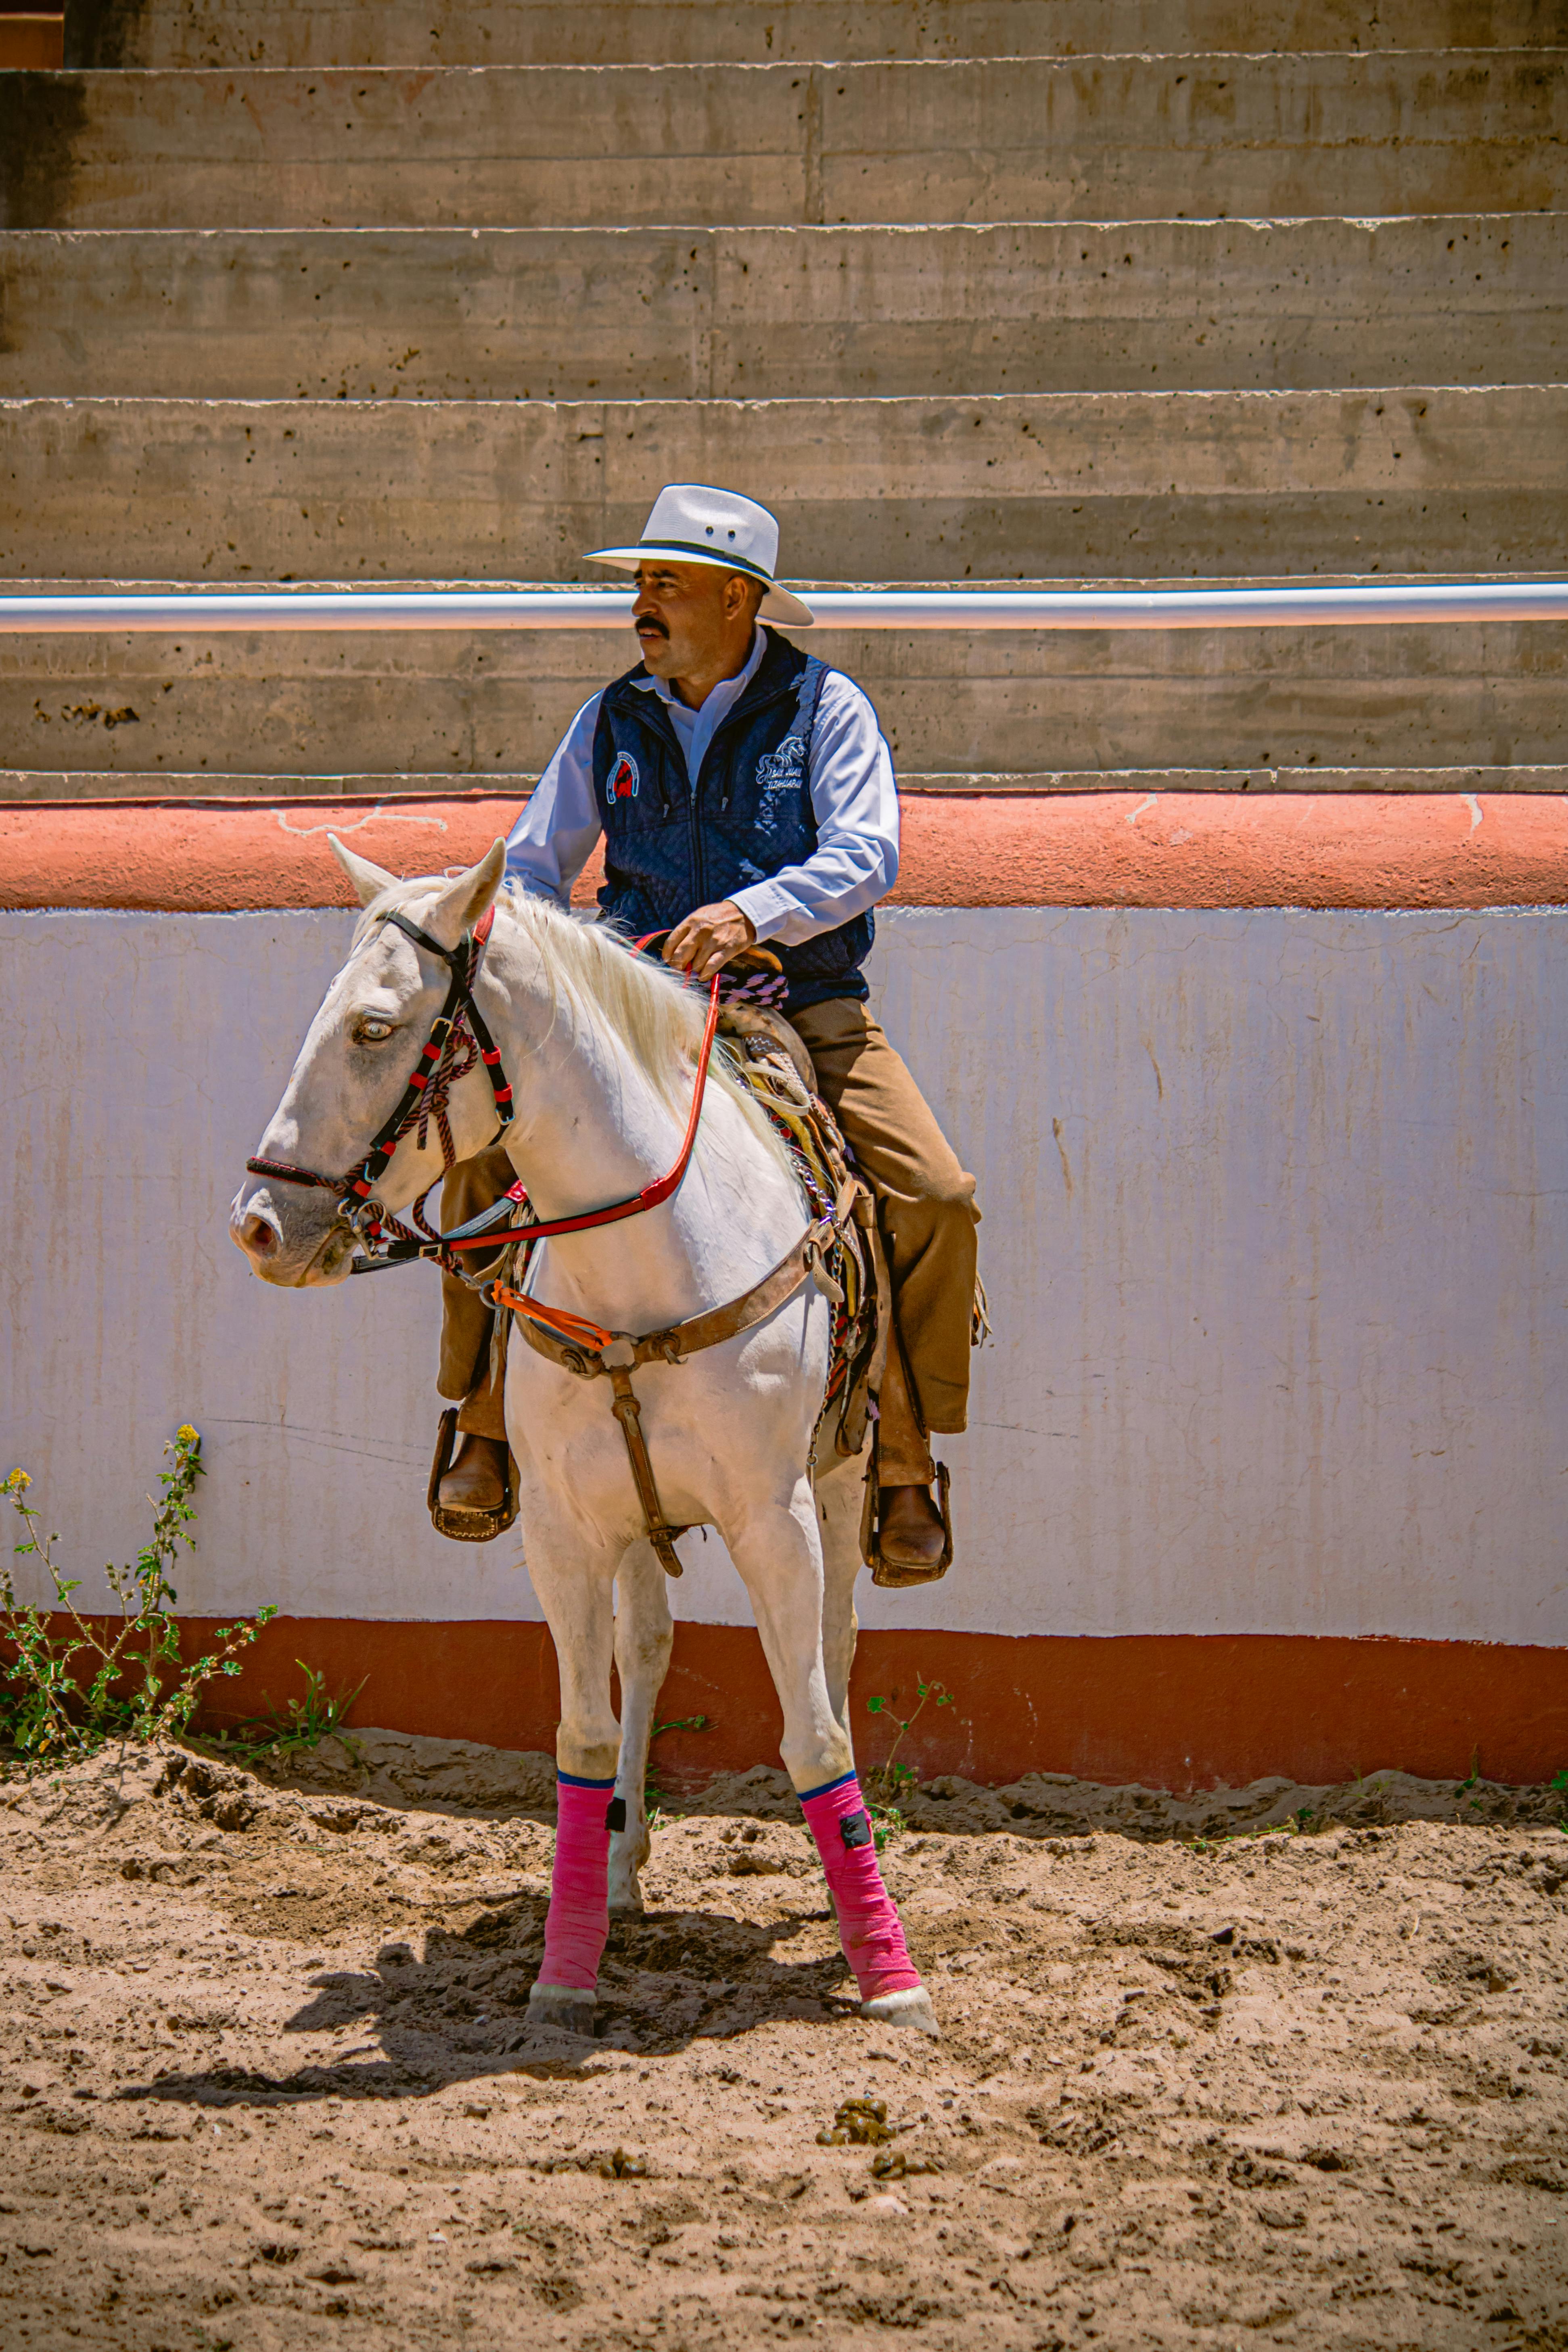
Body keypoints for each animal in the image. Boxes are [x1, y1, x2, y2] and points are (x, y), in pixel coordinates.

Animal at [230, 836, 937, 2040]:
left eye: (374, 1026)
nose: (261, 1227)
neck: (652, 1262)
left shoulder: (776, 1518)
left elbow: (812, 1732)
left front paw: (890, 1974)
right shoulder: (564, 1532)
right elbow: (583, 1736)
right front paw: (565, 1970)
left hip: (843, 1481)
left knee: (836, 1651)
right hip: (633, 1520)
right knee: (646, 1651)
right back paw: (619, 1872)